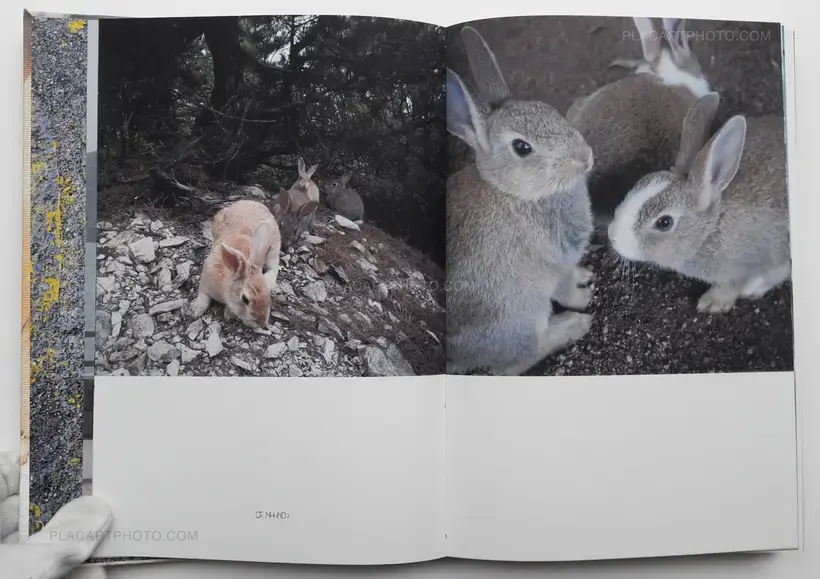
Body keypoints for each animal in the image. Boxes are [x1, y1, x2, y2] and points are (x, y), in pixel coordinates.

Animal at [190, 199, 282, 329]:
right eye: (245, 299)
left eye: (267, 295)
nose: (262, 324)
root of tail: (252, 201)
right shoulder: (206, 277)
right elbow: (203, 295)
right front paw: (196, 311)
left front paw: (229, 314)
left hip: (273, 249)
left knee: (274, 267)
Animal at [446, 25, 596, 377]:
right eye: (522, 147)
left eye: (551, 110)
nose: (585, 157)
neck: (514, 192)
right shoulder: (555, 264)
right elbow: (567, 289)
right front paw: (585, 299)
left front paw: (587, 275)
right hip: (520, 318)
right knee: (515, 363)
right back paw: (574, 326)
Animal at [607, 96, 790, 314]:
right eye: (640, 183)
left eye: (664, 222)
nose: (612, 235)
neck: (712, 227)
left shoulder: (753, 261)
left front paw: (712, 303)